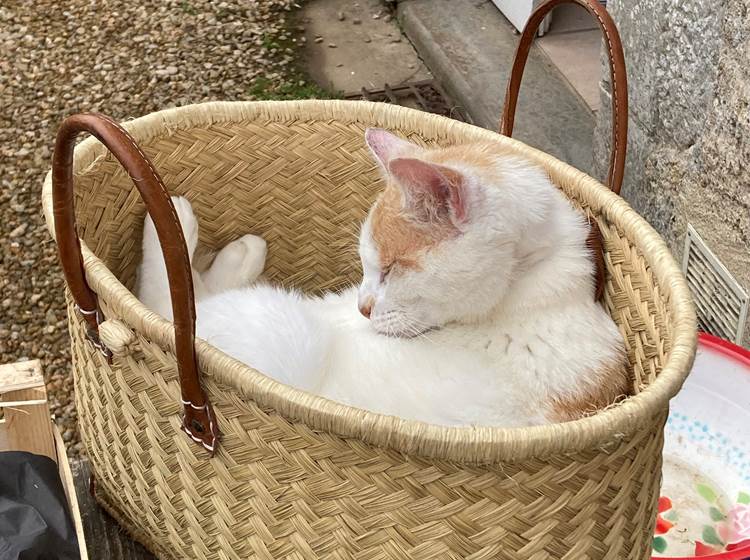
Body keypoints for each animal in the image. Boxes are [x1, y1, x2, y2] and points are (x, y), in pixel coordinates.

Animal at [138, 129, 632, 426]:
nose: (363, 307)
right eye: (367, 266)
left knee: (174, 308)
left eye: (391, 269)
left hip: (284, 326)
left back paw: (178, 224)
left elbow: (177, 309)